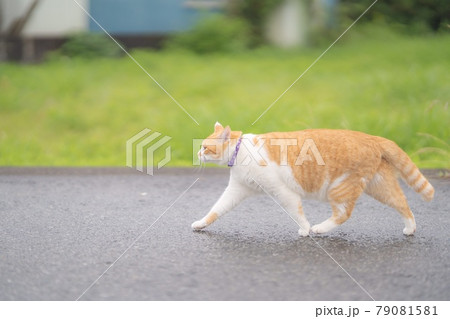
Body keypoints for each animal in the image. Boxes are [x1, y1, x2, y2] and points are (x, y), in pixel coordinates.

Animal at [192, 122, 434, 238]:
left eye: (205, 147)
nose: (198, 153)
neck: (241, 151)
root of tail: (372, 137)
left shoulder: (284, 192)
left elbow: (296, 213)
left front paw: (305, 230)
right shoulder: (236, 190)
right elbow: (216, 210)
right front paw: (201, 223)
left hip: (339, 188)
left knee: (343, 214)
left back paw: (319, 229)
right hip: (380, 186)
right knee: (403, 204)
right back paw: (410, 228)